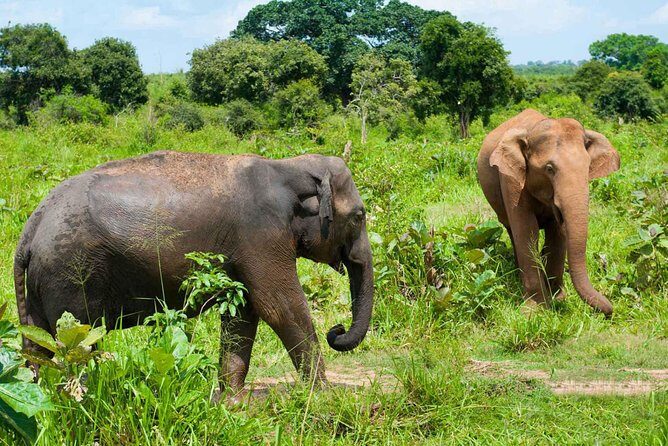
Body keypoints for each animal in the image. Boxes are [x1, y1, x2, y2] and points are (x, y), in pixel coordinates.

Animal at [14, 150, 374, 398]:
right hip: (71, 274)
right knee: (78, 342)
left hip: (44, 283)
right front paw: (324, 395)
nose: (336, 330)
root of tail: (31, 226)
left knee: (39, 342)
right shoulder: (262, 233)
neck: (288, 166)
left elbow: (244, 312)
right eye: (359, 216)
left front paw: (232, 400)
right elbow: (279, 307)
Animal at [477, 109, 620, 316]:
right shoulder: (511, 179)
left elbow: (557, 233)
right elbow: (527, 230)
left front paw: (557, 299)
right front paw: (535, 310)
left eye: (588, 167)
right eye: (549, 169)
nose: (610, 311)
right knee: (512, 230)